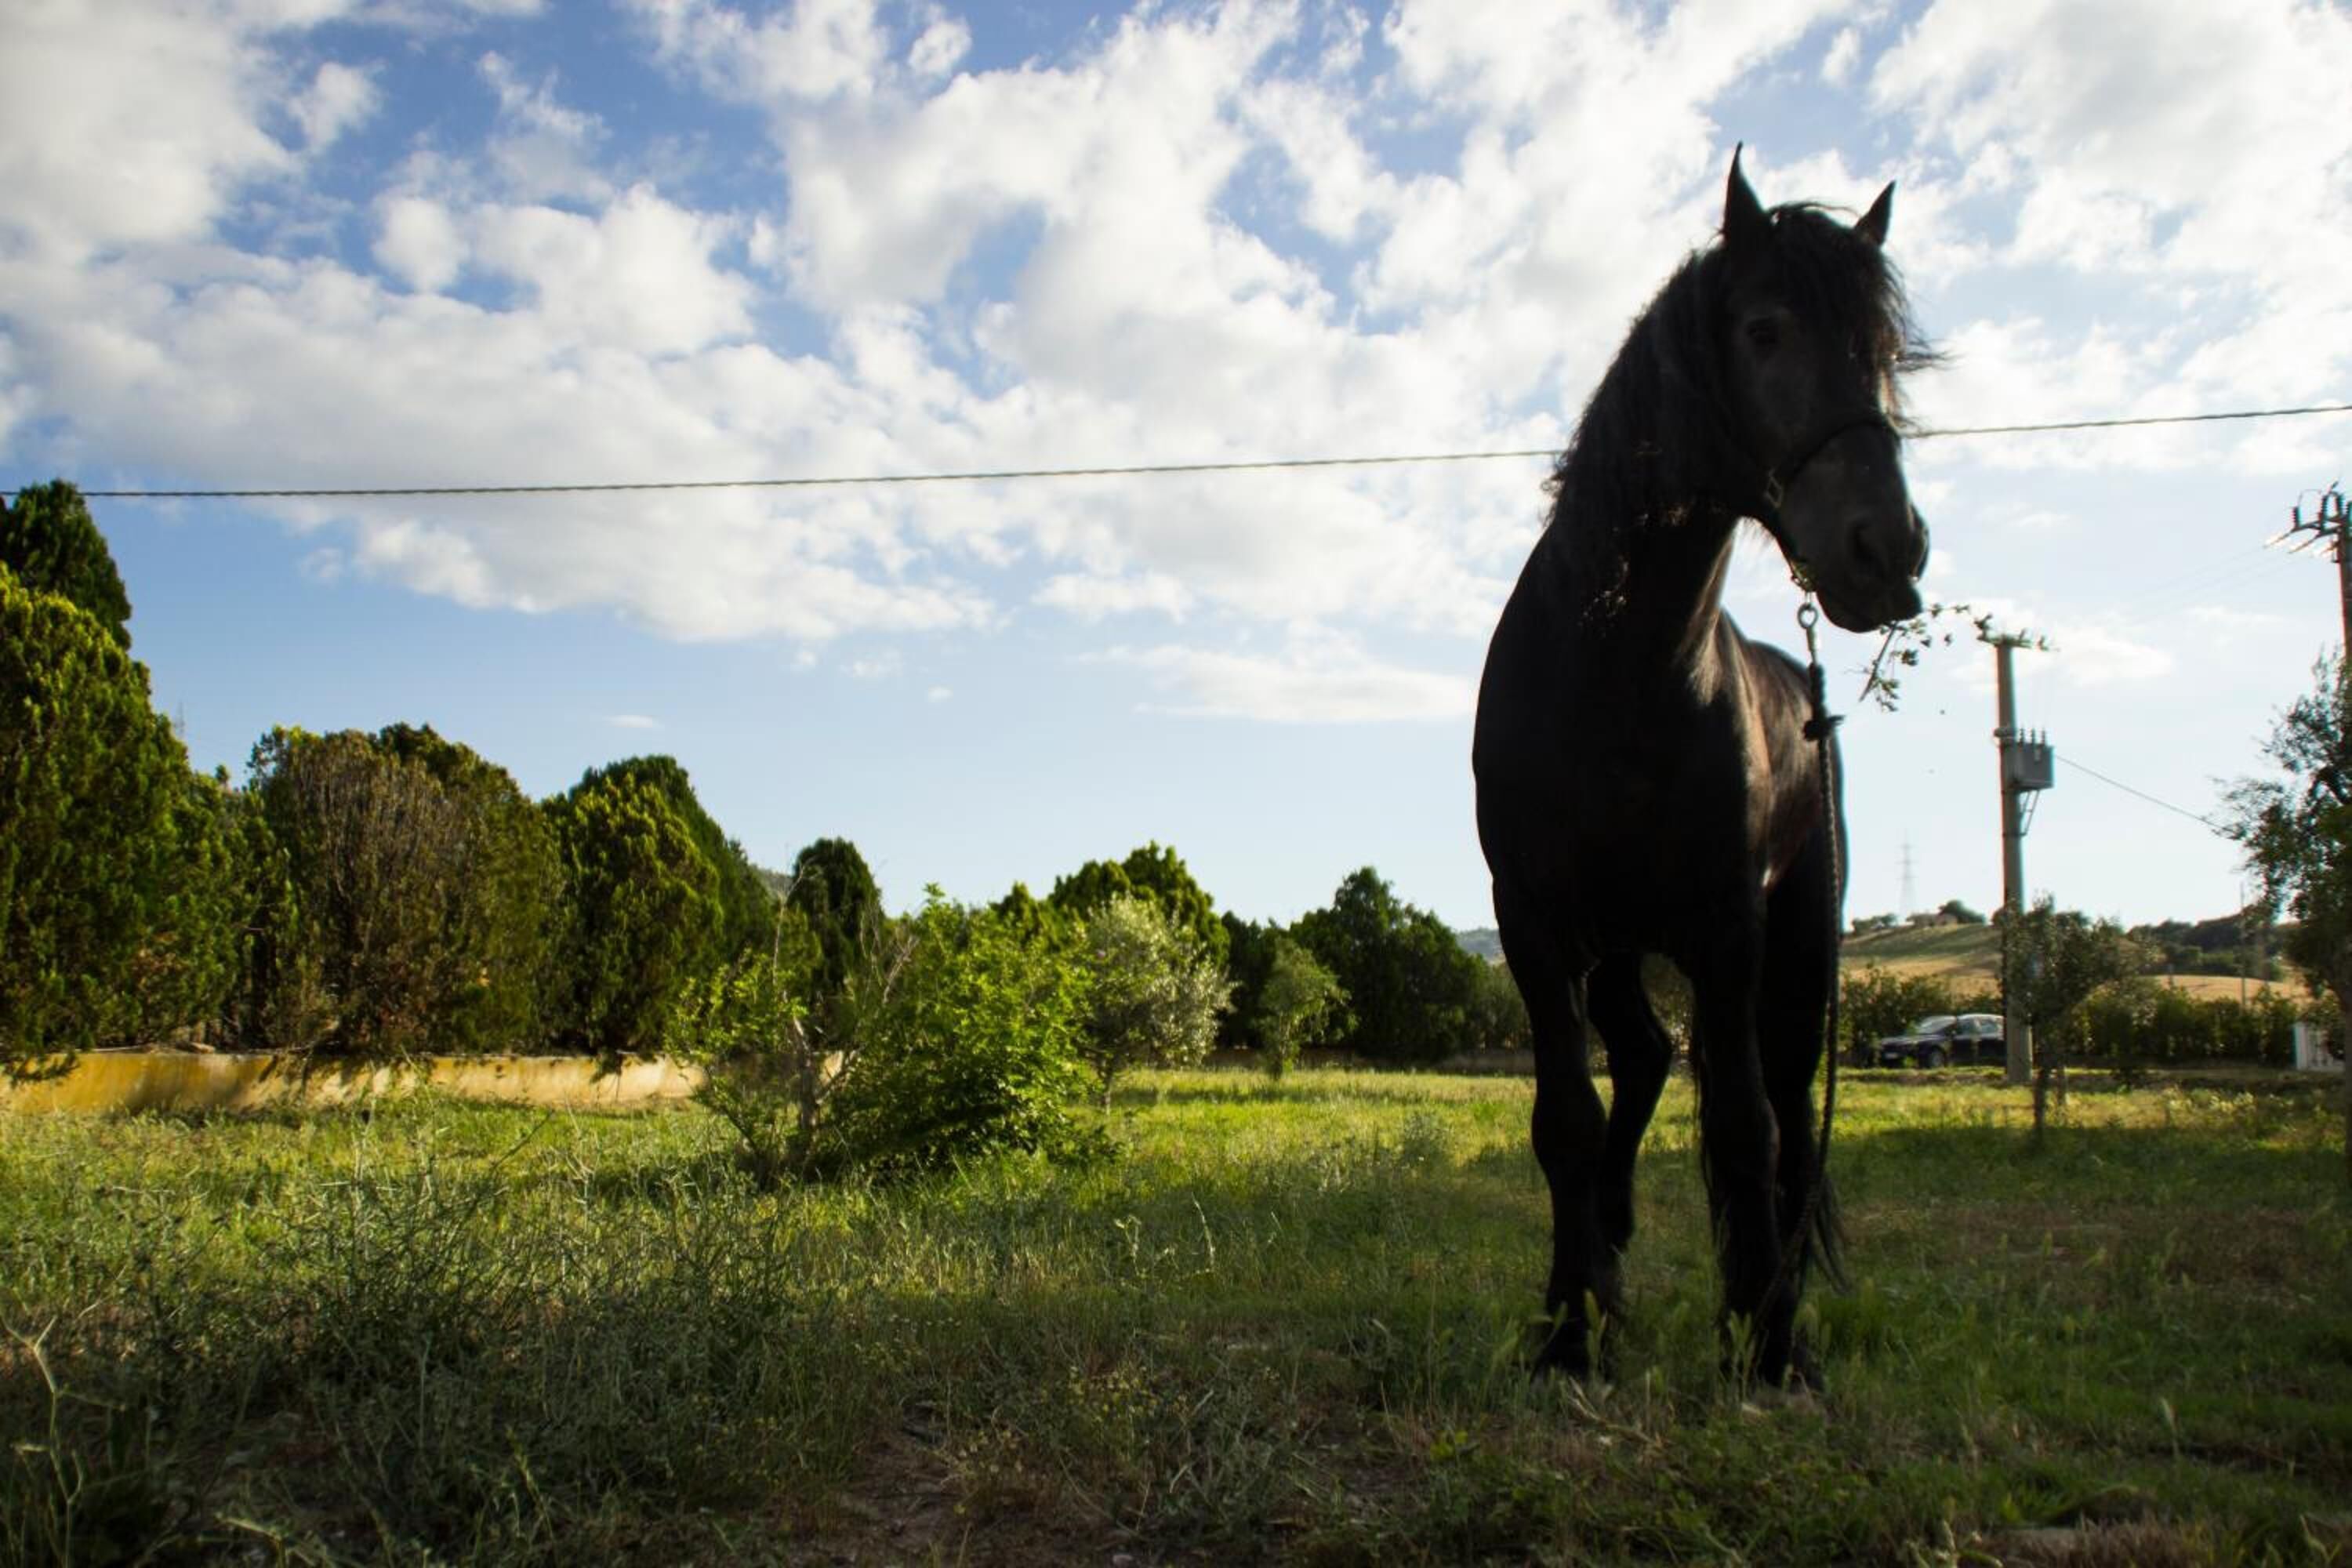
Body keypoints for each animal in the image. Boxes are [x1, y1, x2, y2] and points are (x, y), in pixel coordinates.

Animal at [1472, 148, 1931, 1388]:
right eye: (1765, 330)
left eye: (1886, 352)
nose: (1889, 550)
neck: (1620, 672)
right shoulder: (1536, 923)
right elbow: (1565, 1118)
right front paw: (1567, 1330)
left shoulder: (1731, 929)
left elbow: (1748, 1127)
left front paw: (1773, 1345)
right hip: (1620, 945)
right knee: (1641, 1059)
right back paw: (1610, 1249)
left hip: (1798, 949)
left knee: (1772, 1103)